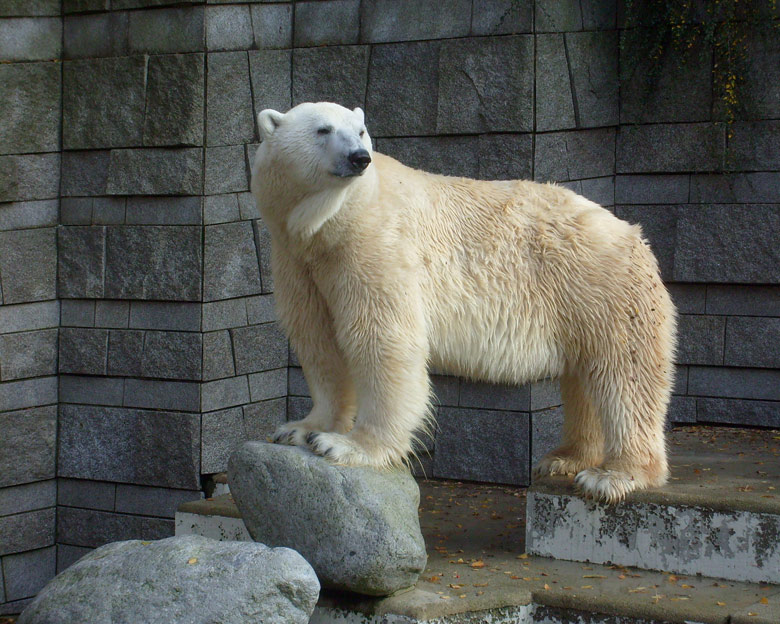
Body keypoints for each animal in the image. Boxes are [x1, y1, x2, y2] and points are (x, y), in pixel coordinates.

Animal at [250, 102, 676, 502]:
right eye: (323, 129)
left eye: (361, 131)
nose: (359, 157)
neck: (329, 225)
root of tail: (631, 232)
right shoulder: (297, 260)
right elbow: (317, 341)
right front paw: (302, 428)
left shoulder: (375, 245)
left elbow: (382, 340)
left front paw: (349, 445)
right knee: (586, 377)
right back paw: (566, 457)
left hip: (602, 286)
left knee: (625, 376)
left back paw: (612, 475)